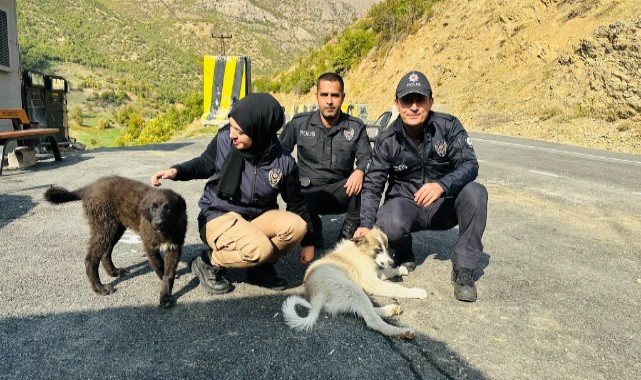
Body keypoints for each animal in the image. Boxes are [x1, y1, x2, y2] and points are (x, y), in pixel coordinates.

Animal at [43, 175, 185, 308]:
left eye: (168, 208)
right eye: (152, 208)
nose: (158, 223)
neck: (166, 231)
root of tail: (89, 187)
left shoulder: (174, 247)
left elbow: (169, 274)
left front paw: (166, 296)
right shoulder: (149, 245)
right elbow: (159, 264)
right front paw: (162, 282)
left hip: (115, 229)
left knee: (106, 253)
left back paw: (113, 272)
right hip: (104, 228)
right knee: (90, 259)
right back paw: (99, 288)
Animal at [282, 227, 424, 340]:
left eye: (387, 248)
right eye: (378, 250)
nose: (392, 262)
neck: (361, 252)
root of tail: (315, 297)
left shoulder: (375, 273)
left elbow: (387, 271)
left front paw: (401, 269)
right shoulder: (371, 282)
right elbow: (396, 288)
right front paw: (417, 291)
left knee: (366, 310)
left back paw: (391, 310)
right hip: (352, 290)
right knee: (372, 320)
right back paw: (402, 332)